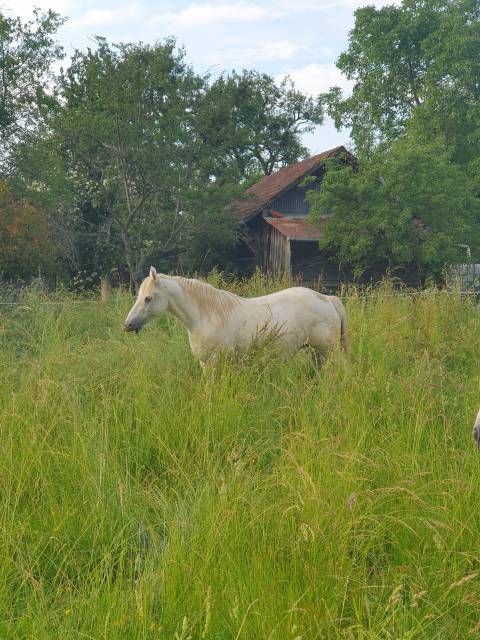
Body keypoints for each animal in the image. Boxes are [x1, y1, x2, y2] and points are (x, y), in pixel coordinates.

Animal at [124, 268, 346, 368]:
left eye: (148, 298)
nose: (127, 325)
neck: (206, 316)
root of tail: (327, 299)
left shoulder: (213, 363)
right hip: (316, 353)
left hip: (328, 352)